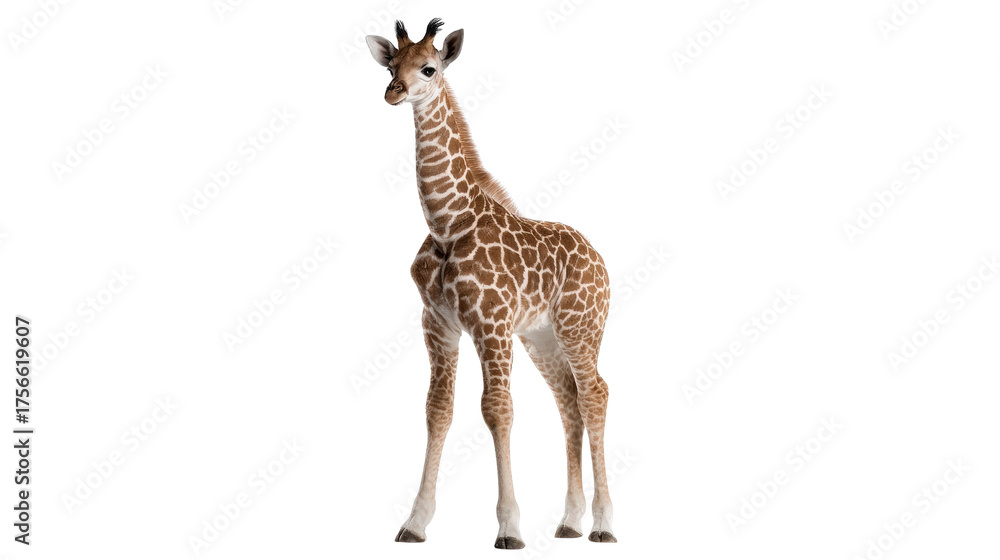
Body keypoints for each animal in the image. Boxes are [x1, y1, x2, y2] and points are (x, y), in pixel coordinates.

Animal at [366, 19, 616, 548]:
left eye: (429, 67)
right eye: (389, 65)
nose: (394, 92)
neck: (448, 222)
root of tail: (600, 260)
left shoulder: (491, 325)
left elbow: (497, 409)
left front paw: (509, 527)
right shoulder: (438, 324)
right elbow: (438, 409)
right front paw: (415, 523)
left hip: (580, 327)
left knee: (595, 395)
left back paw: (604, 524)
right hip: (542, 336)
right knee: (568, 401)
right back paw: (569, 522)